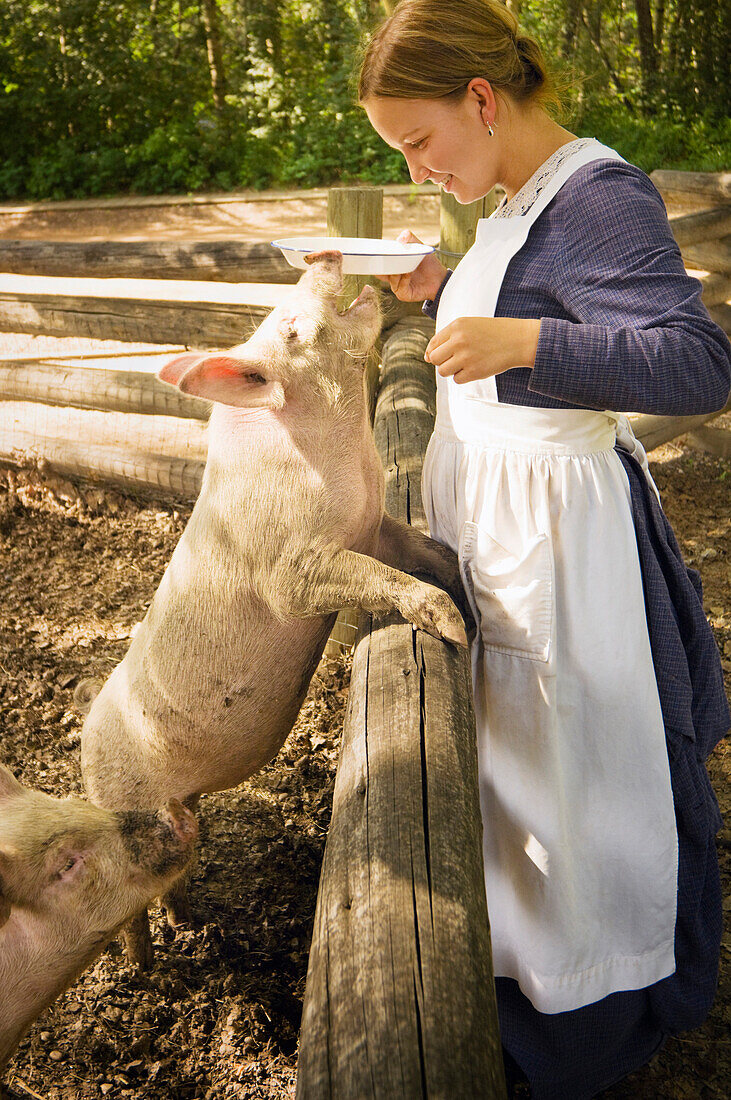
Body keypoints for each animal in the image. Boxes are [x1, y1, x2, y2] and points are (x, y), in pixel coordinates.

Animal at [79, 249, 468, 963]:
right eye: (289, 329)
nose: (322, 255)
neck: (348, 452)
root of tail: (85, 748)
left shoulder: (374, 528)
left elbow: (421, 549)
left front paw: (468, 588)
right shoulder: (294, 571)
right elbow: (376, 578)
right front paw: (454, 628)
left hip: (184, 809)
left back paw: (193, 923)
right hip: (127, 812)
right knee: (128, 902)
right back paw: (147, 966)